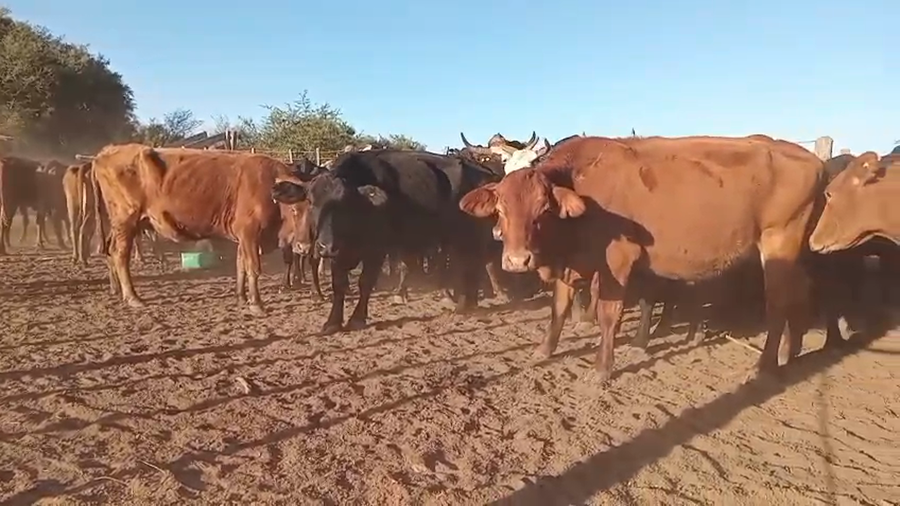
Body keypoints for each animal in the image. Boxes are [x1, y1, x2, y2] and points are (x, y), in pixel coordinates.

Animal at [91, 143, 292, 315]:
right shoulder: (250, 233)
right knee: (120, 254)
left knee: (110, 250)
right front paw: (256, 304)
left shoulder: (243, 238)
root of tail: (105, 153)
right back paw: (132, 297)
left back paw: (116, 289)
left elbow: (240, 264)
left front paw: (242, 297)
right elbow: (253, 267)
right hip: (126, 221)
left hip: (119, 225)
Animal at [271, 149, 500, 335]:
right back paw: (467, 303)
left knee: (473, 265)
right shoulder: (339, 252)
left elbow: (365, 282)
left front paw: (357, 319)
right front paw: (333, 322)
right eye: (311, 201)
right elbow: (339, 285)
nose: (325, 246)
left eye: (345, 202)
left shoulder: (376, 250)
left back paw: (464, 304)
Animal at [460, 135, 824, 384]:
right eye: (501, 208)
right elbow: (559, 308)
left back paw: (764, 364)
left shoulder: (617, 261)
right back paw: (789, 352)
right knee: (800, 292)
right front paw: (544, 350)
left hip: (778, 244)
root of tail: (812, 159)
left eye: (543, 209)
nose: (517, 260)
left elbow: (608, 314)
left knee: (778, 303)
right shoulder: (572, 264)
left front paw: (602, 368)